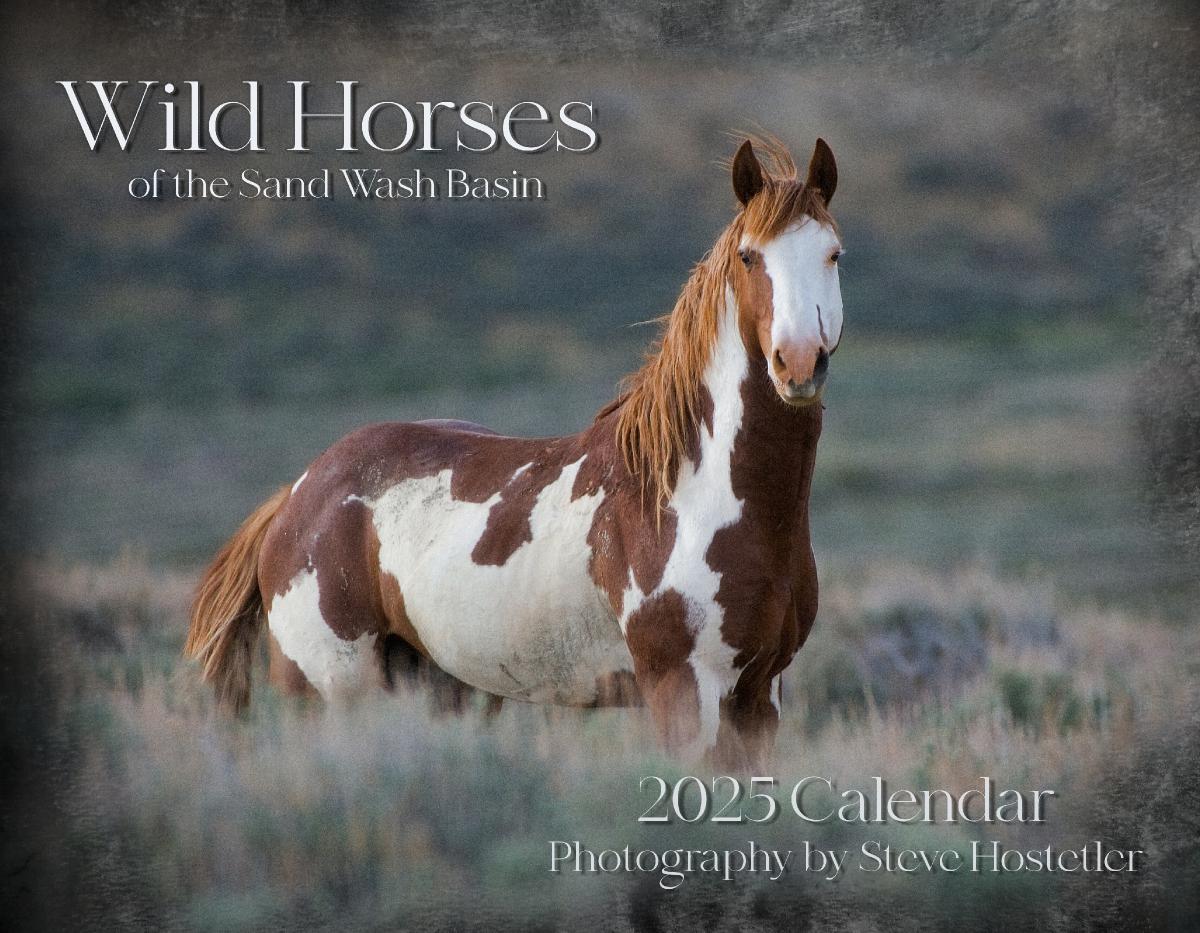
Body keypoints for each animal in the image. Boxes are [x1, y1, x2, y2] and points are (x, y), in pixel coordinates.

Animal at [187, 136, 844, 762]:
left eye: (833, 253)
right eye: (748, 256)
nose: (798, 364)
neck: (691, 495)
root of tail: (296, 495)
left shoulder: (759, 693)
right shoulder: (686, 689)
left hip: (438, 689)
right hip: (329, 694)